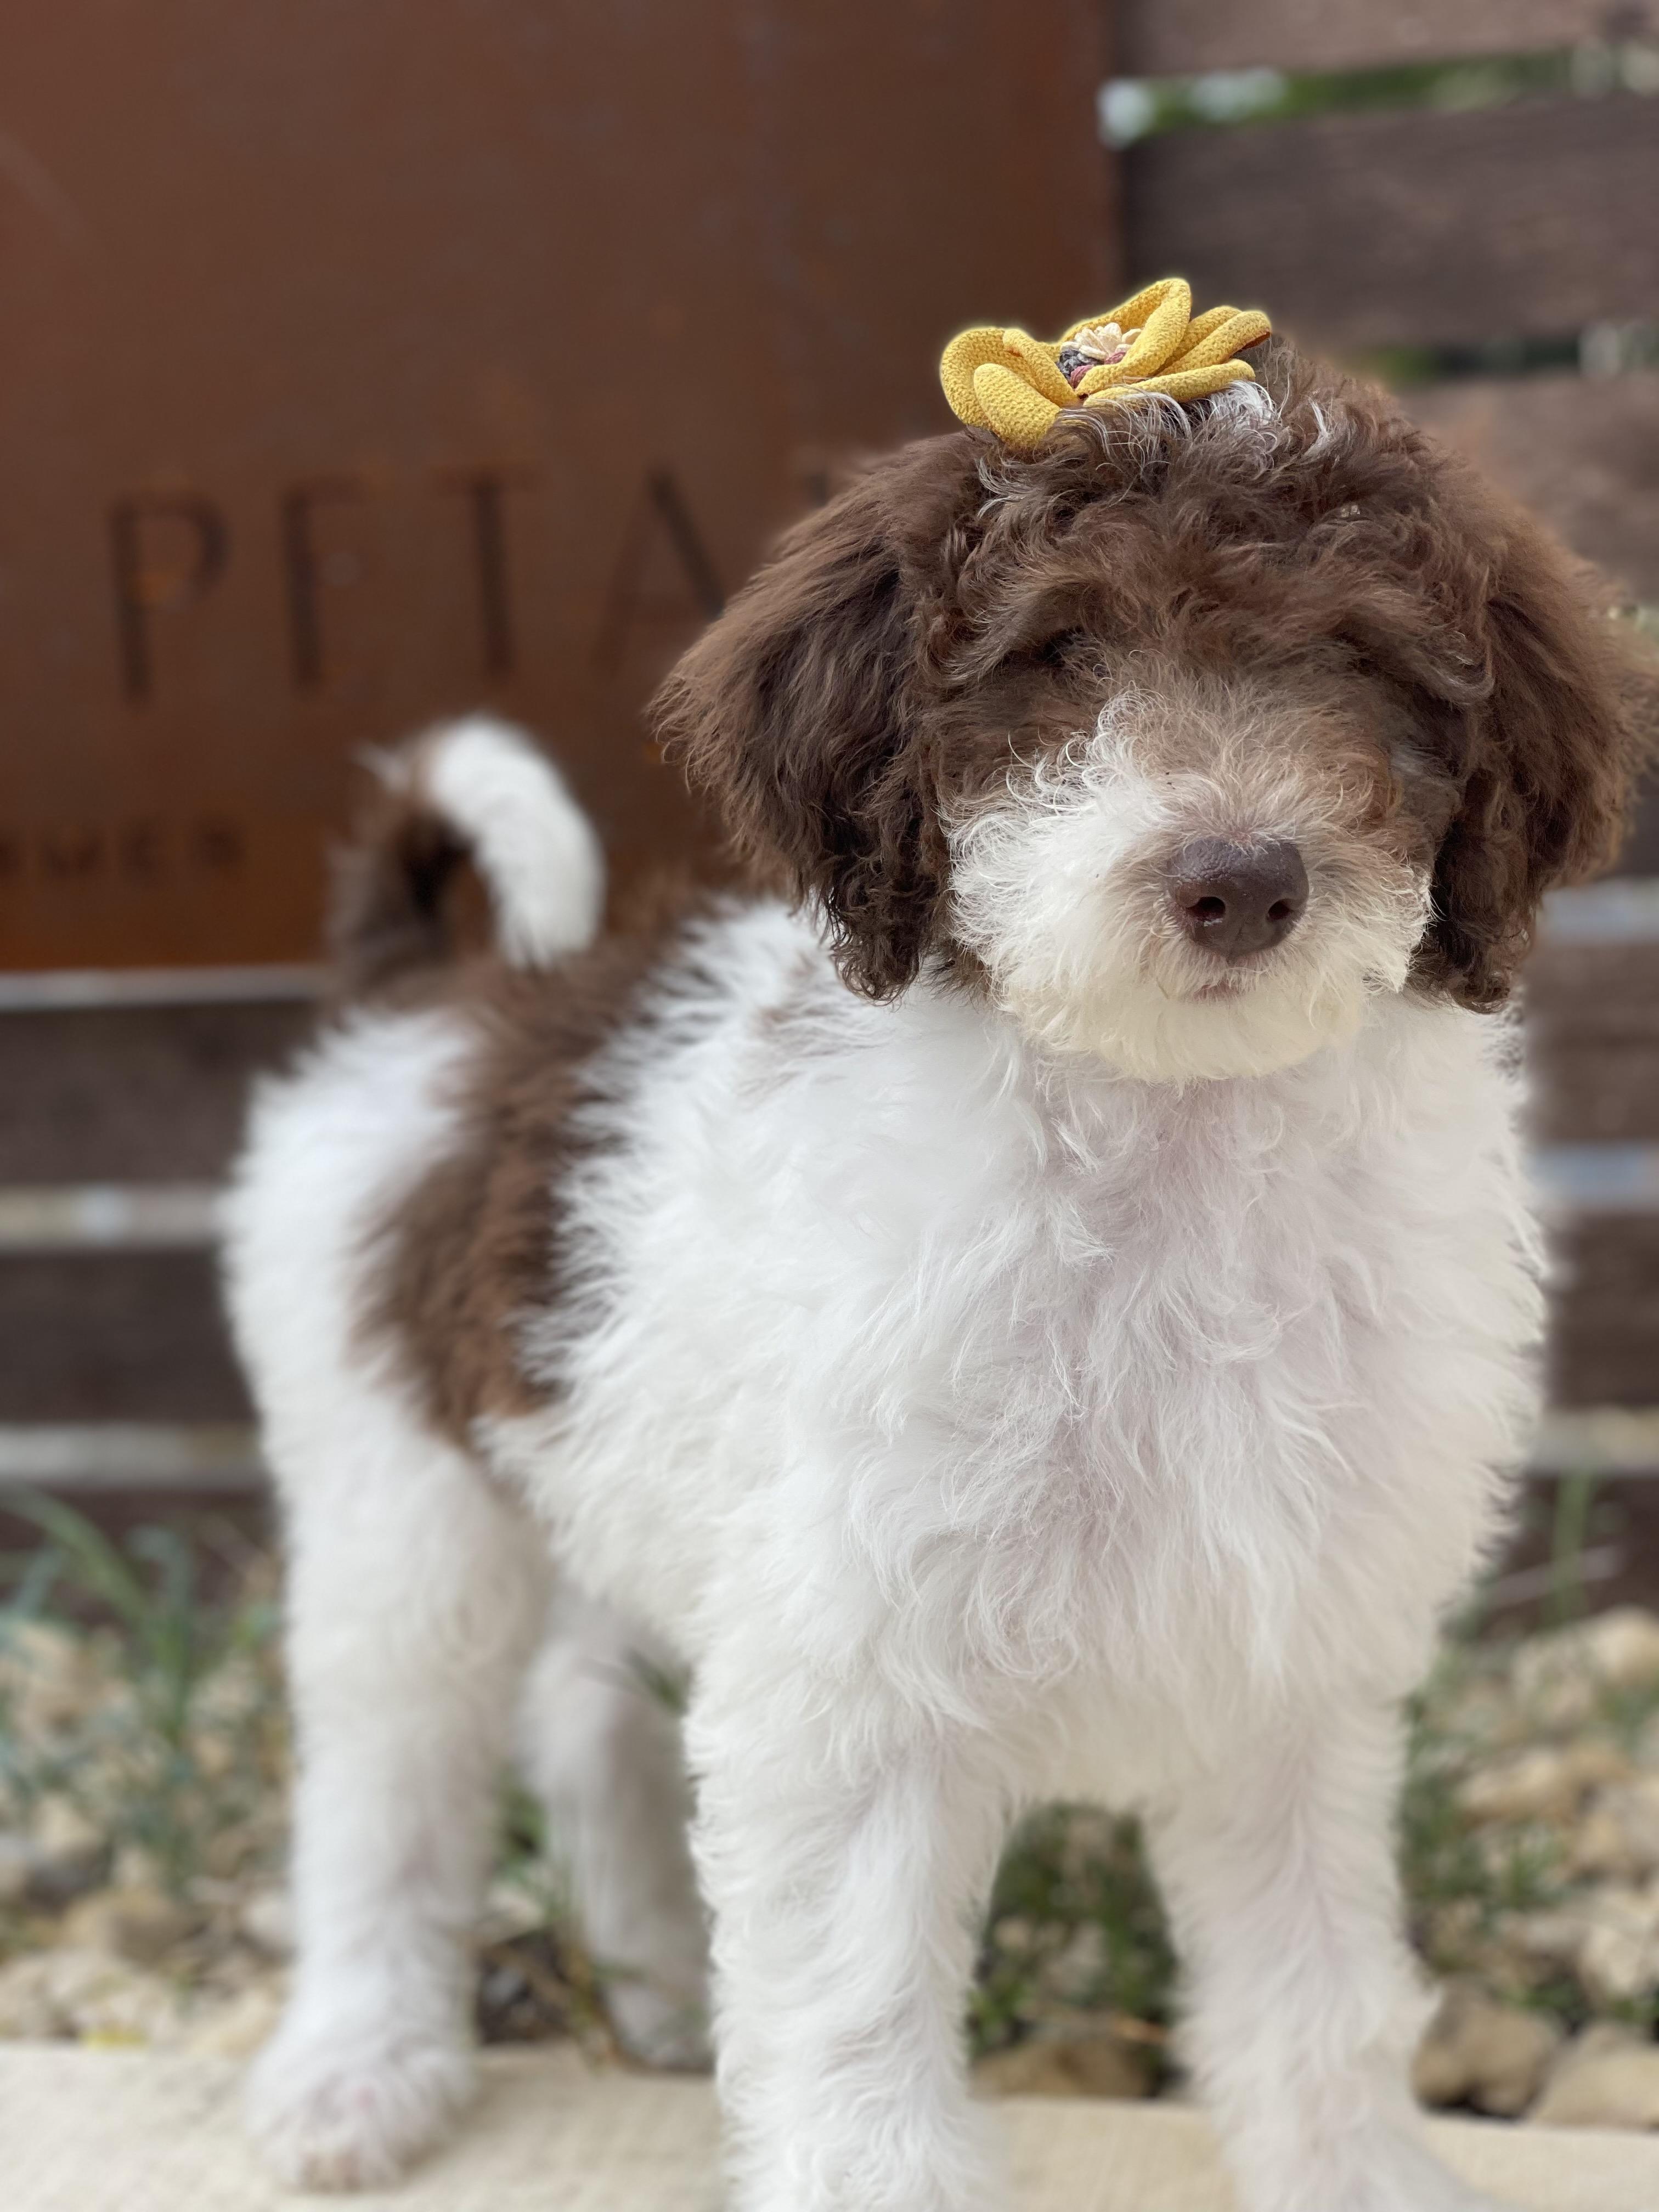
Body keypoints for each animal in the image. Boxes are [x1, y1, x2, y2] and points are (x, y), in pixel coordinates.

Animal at [224, 342, 1648, 2212]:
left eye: (1357, 657)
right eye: (1060, 653)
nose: (1242, 880)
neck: (1169, 1143)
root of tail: (440, 998)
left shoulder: (1289, 1672)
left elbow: (1319, 1997)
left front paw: (1359, 2181)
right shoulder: (851, 1688)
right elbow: (853, 2036)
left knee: (585, 1711)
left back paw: (654, 1988)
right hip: (403, 1494)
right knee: (387, 1783)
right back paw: (356, 2068)